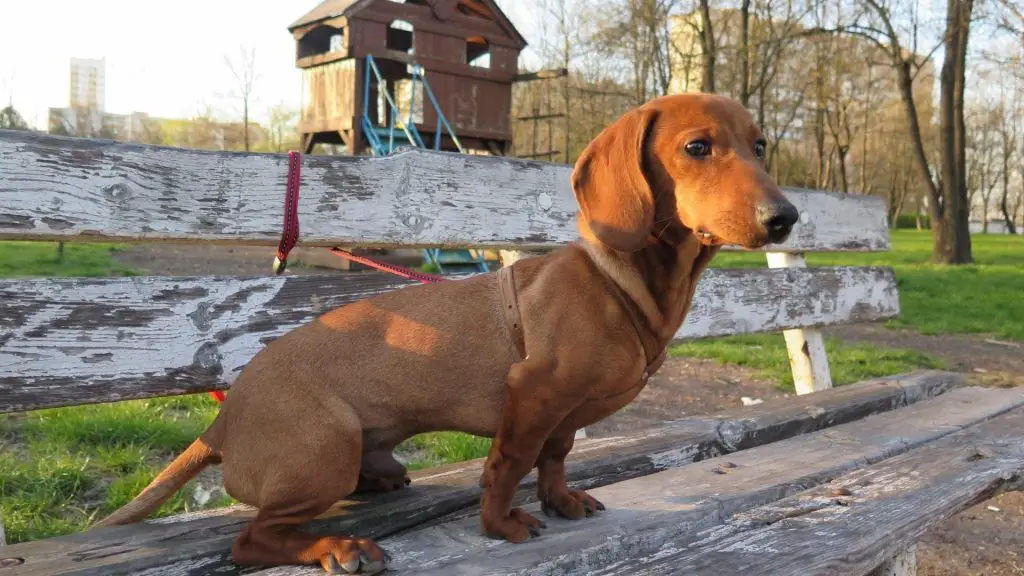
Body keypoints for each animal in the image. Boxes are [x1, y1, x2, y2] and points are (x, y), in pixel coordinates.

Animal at [94, 93, 798, 569]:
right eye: (697, 147)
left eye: (761, 145)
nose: (786, 217)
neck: (619, 283)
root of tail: (220, 423)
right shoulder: (532, 394)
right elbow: (508, 465)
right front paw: (501, 525)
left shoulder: (563, 416)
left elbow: (554, 458)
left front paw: (562, 501)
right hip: (327, 449)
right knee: (252, 540)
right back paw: (337, 546)